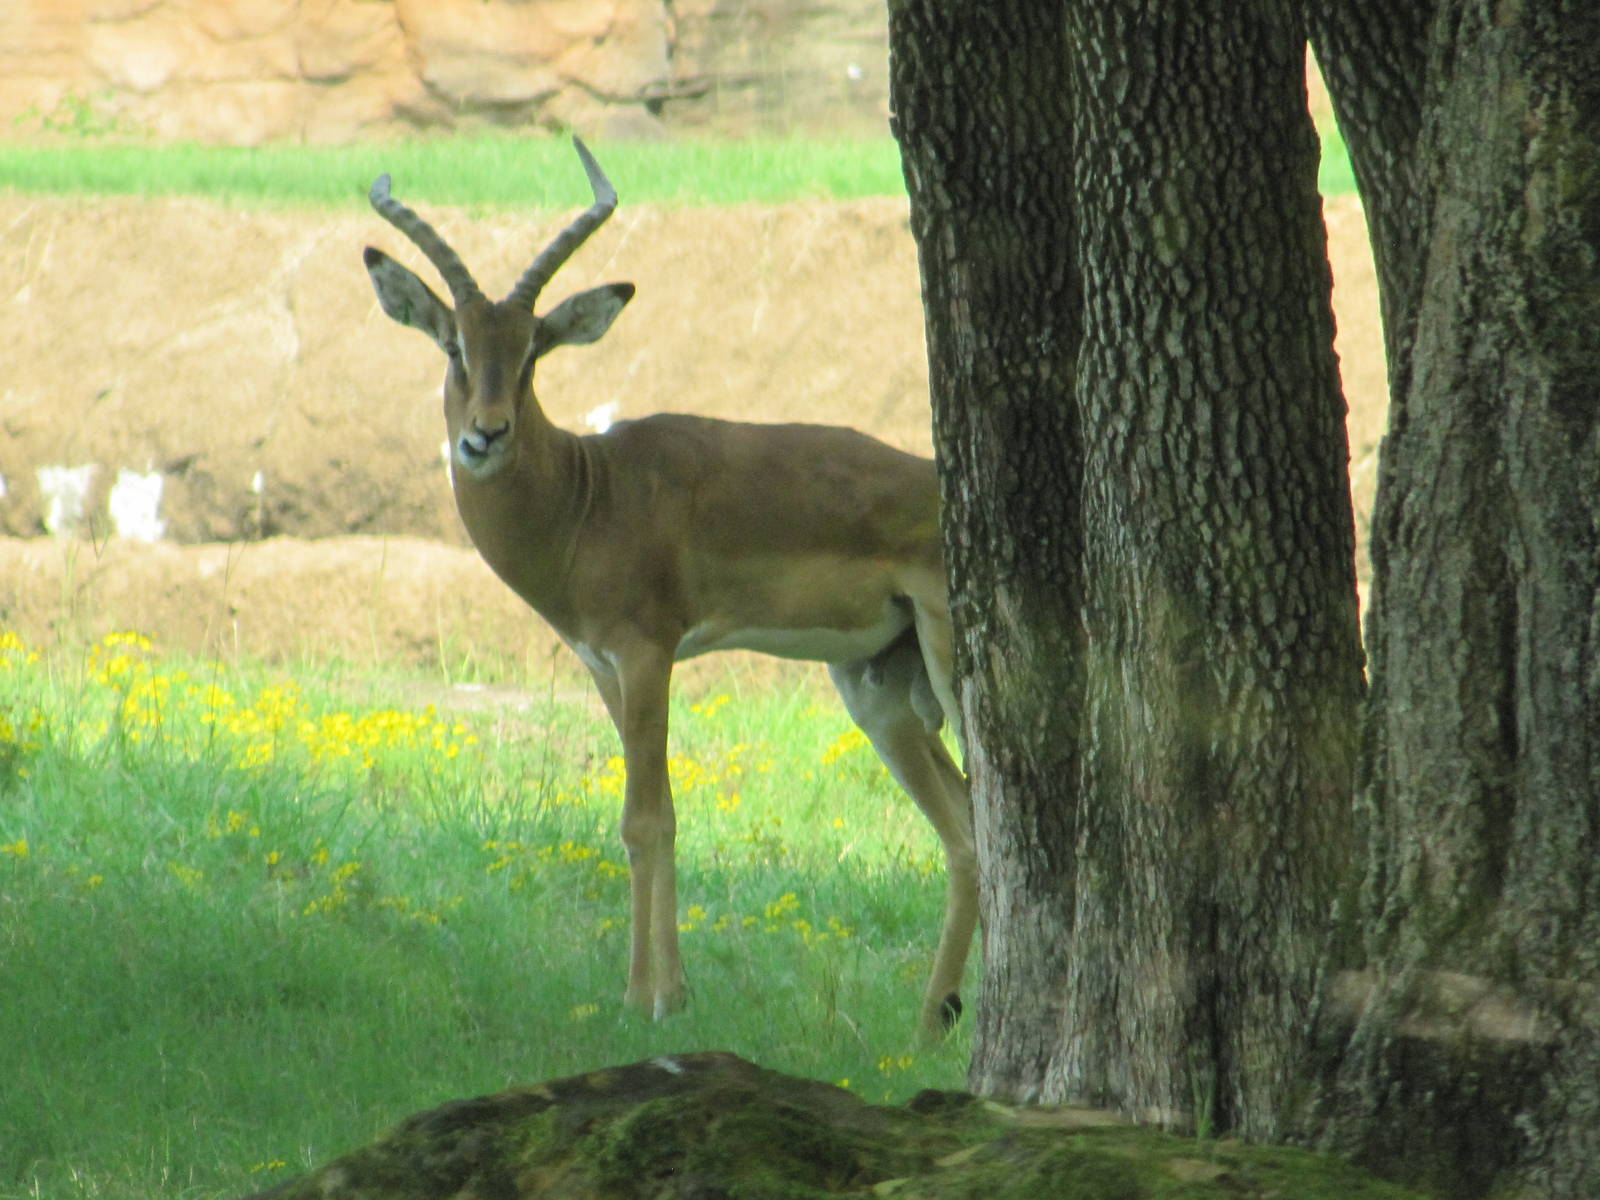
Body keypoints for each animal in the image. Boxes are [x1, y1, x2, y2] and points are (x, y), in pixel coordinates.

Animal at [362, 138, 975, 1038]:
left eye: (533, 351)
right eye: (453, 348)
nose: (484, 435)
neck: (589, 494)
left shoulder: (648, 653)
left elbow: (645, 818)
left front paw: (649, 1001)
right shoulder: (603, 667)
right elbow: (660, 818)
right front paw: (661, 993)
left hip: (948, 662)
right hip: (878, 692)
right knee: (965, 826)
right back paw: (933, 1023)